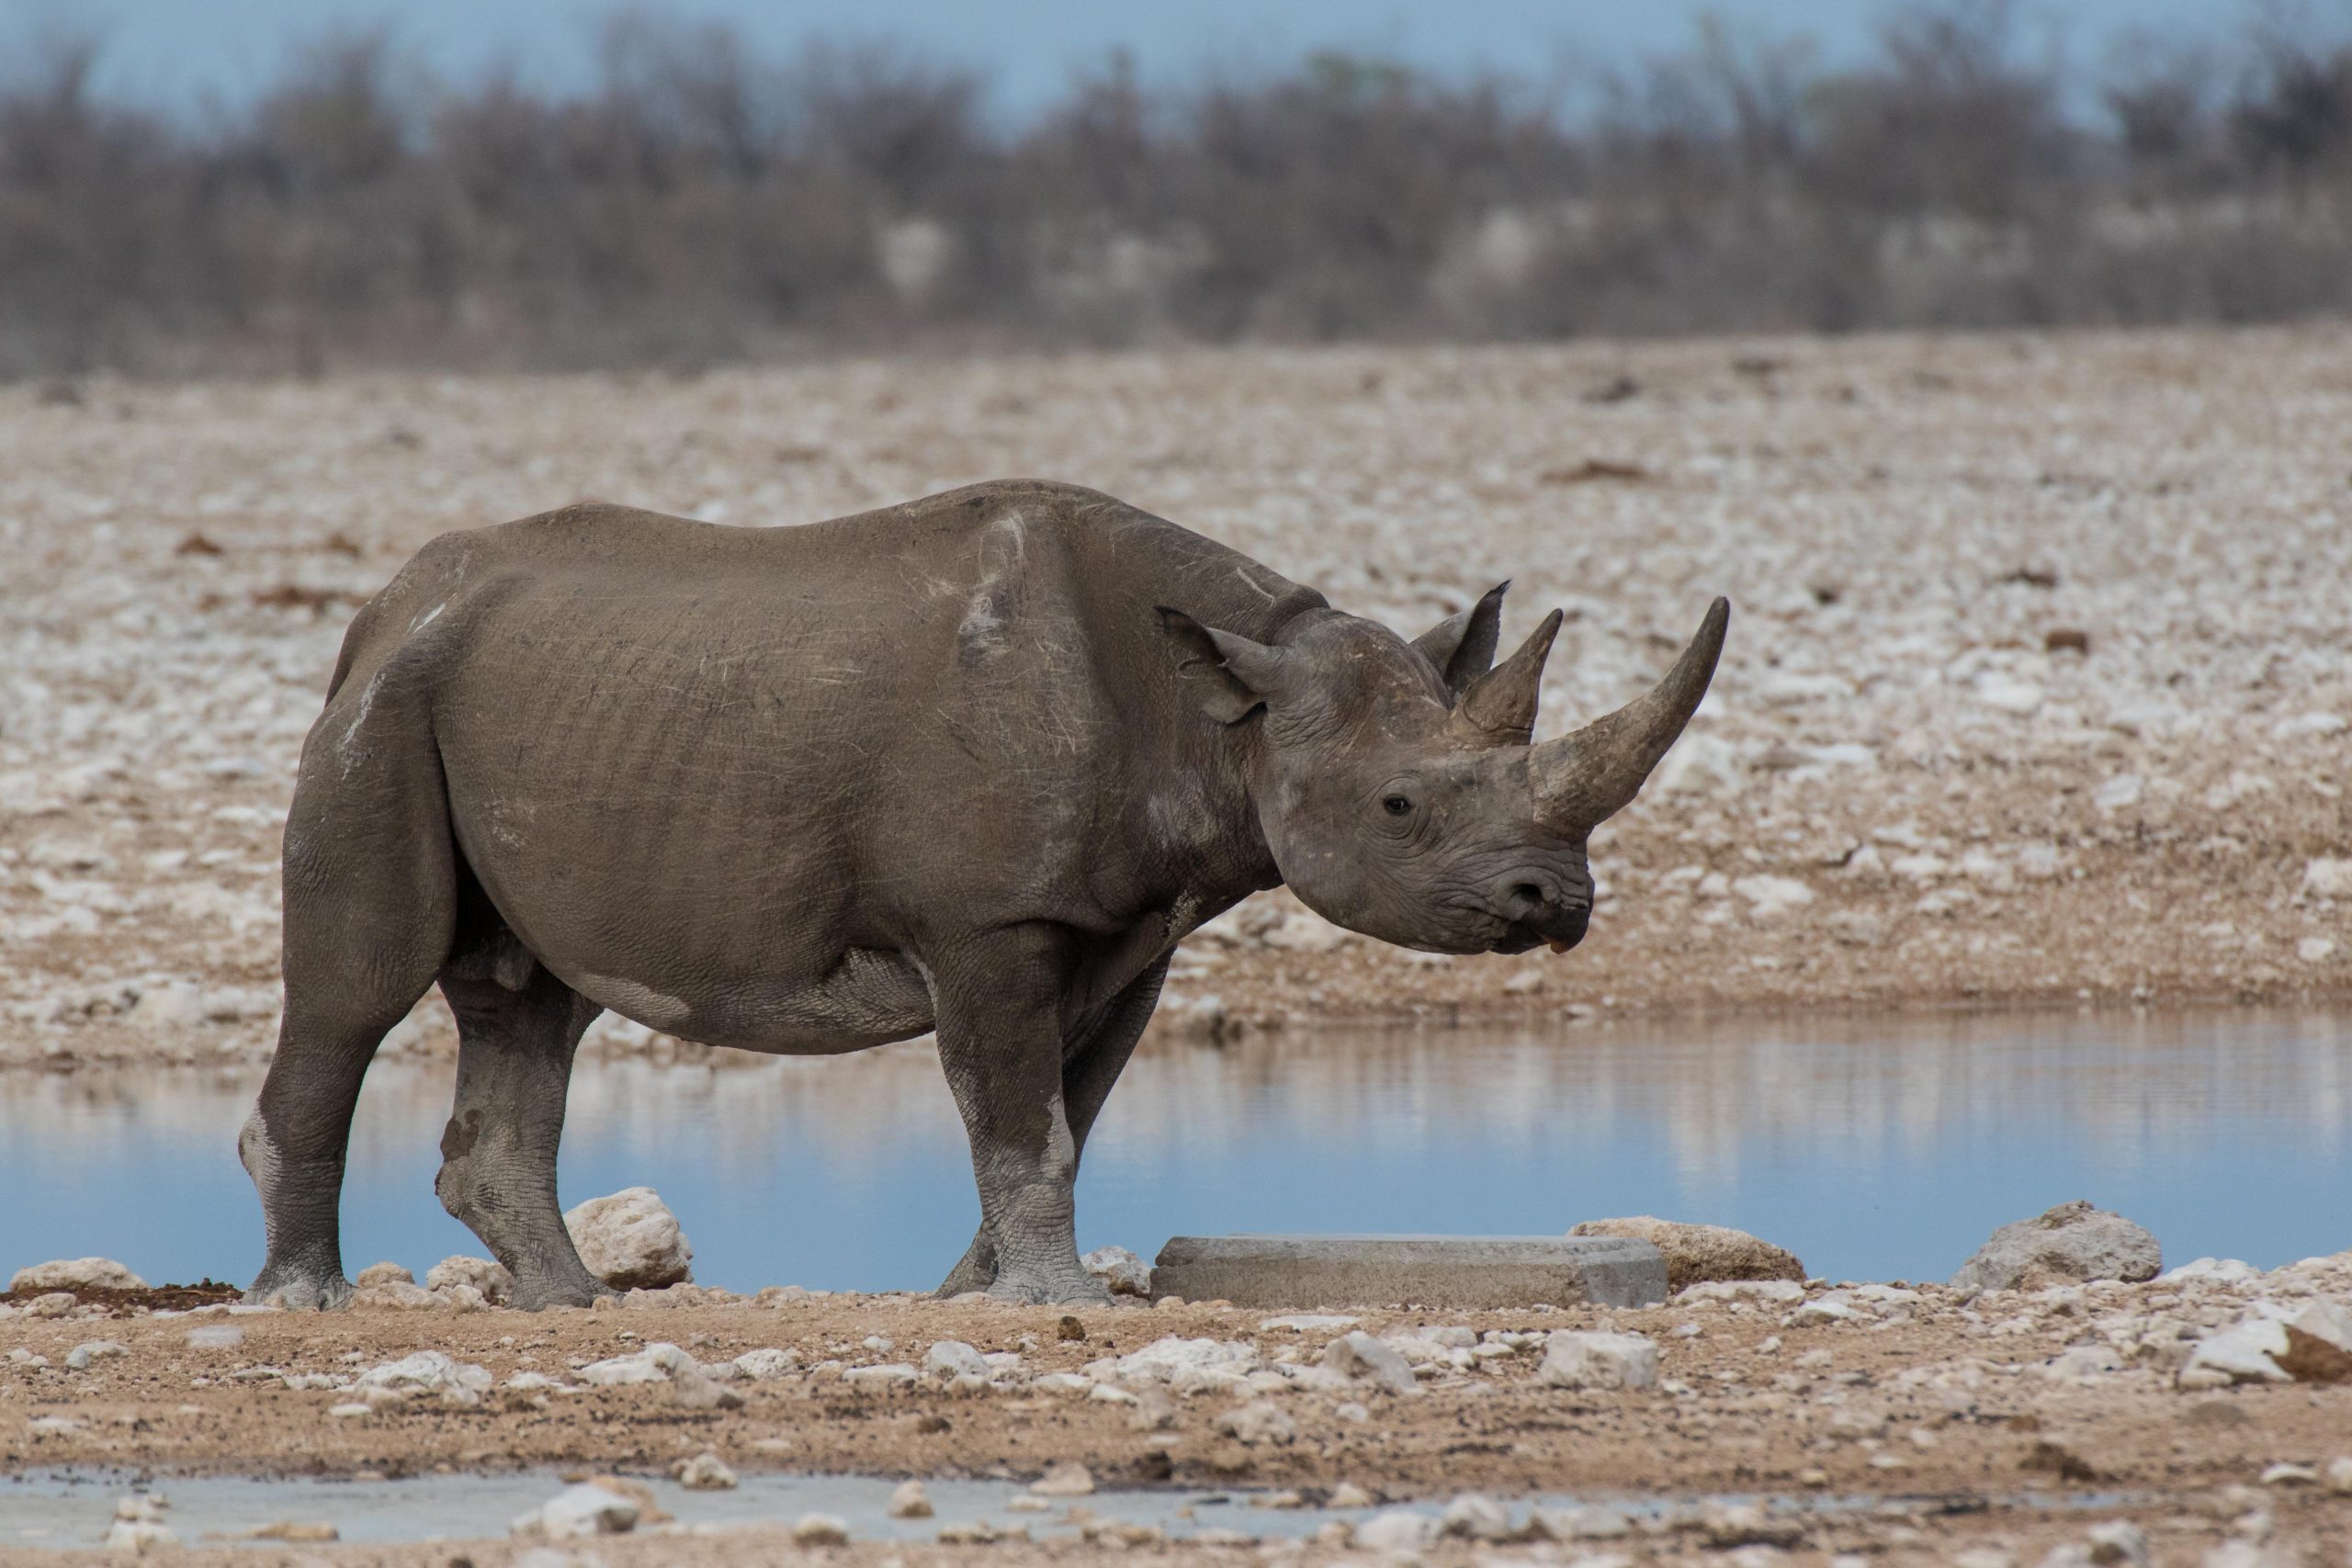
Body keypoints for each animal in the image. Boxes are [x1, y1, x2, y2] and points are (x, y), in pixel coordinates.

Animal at [242, 479, 1726, 1309]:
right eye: (1400, 809)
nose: (1553, 900)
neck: (1231, 709)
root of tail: (382, 606)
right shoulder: (990, 922)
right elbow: (1025, 1121)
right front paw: (1050, 1299)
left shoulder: (1126, 931)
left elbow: (1065, 1113)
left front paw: (981, 1287)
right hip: (386, 708)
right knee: (362, 988)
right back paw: (309, 1303)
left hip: (518, 703)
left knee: (531, 999)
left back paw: (568, 1305)